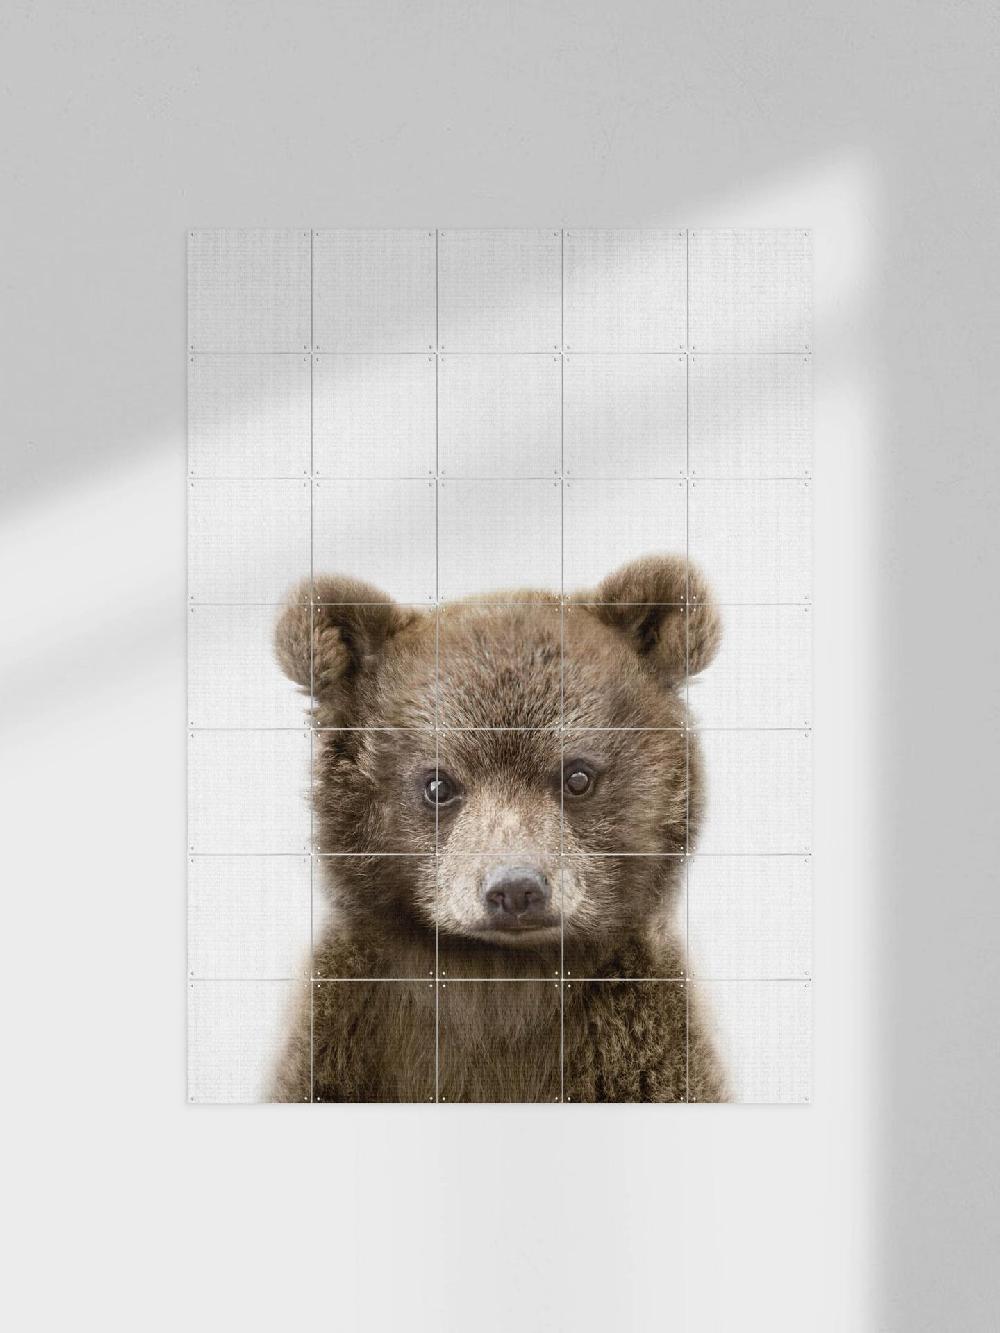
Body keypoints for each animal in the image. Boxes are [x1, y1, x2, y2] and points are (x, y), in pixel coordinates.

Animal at [270, 554, 727, 1103]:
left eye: (577, 776)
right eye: (438, 784)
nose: (515, 889)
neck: (498, 979)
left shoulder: (638, 1045)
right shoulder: (342, 1039)